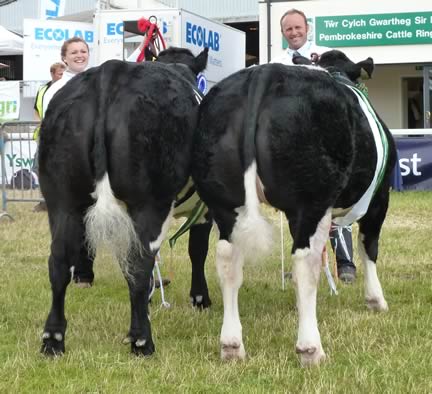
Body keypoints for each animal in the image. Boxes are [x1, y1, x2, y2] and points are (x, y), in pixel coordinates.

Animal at [39, 47, 208, 358]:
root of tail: (111, 71)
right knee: (139, 263)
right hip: (148, 202)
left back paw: (53, 340)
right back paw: (142, 341)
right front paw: (200, 299)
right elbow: (198, 251)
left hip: (61, 199)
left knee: (58, 262)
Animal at [194, 50, 396, 366]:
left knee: (228, 259)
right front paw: (376, 300)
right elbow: (369, 247)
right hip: (312, 199)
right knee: (305, 262)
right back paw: (310, 347)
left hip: (224, 200)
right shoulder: (380, 197)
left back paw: (231, 345)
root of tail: (263, 73)